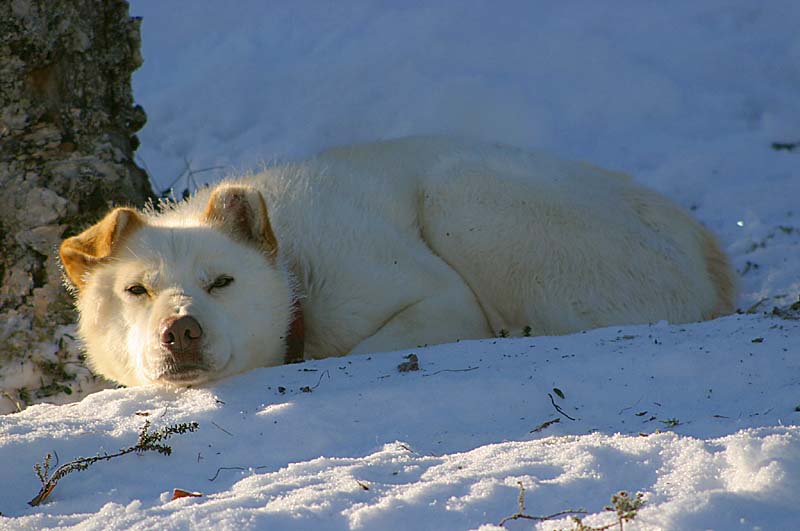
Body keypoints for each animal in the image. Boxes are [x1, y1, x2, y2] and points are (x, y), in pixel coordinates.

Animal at [59, 136, 736, 386]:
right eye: (137, 291)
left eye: (221, 281)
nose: (182, 331)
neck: (298, 281)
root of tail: (709, 256)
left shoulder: (434, 297)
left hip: (463, 193)